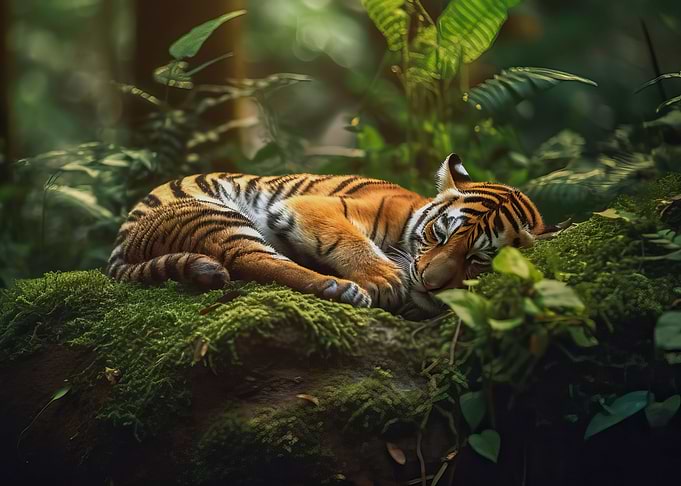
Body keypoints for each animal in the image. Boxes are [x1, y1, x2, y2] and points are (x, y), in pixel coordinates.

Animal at [106, 153, 559, 316]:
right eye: (440, 234)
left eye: (479, 260)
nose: (430, 284)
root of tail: (121, 241)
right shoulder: (314, 206)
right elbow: (351, 240)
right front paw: (384, 278)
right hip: (213, 212)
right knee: (248, 259)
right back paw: (339, 289)